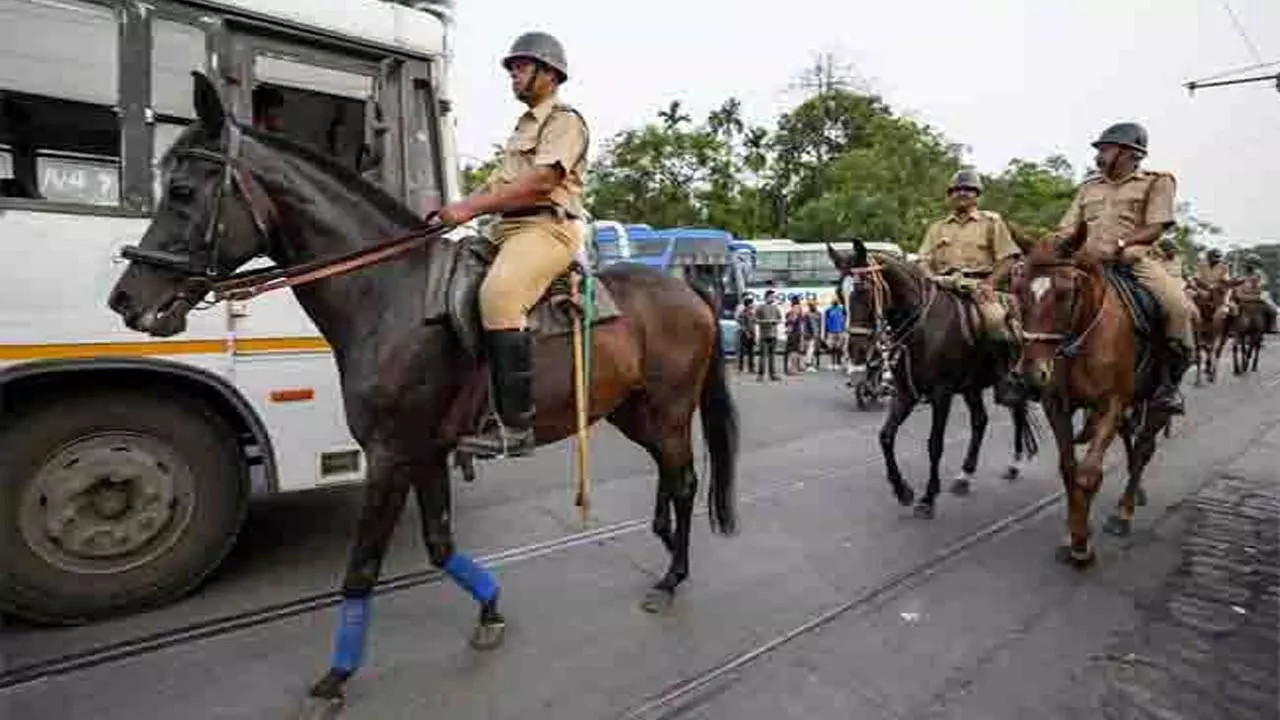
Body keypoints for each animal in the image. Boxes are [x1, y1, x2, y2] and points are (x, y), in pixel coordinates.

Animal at [104, 73, 742, 712]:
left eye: (182, 190)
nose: (126, 299)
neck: (390, 295)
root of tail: (690, 293)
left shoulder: (390, 454)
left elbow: (362, 567)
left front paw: (337, 676)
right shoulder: (426, 451)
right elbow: (438, 544)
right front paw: (489, 610)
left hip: (667, 408)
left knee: (686, 479)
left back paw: (671, 577)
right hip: (631, 411)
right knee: (669, 473)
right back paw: (664, 542)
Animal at [829, 239, 1039, 515]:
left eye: (863, 290)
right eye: (839, 294)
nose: (857, 352)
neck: (921, 326)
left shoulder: (942, 394)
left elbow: (935, 444)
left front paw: (928, 497)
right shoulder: (905, 393)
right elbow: (885, 437)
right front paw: (902, 490)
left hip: (1010, 382)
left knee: (1017, 414)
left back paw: (1014, 464)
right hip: (971, 387)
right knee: (980, 421)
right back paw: (965, 476)